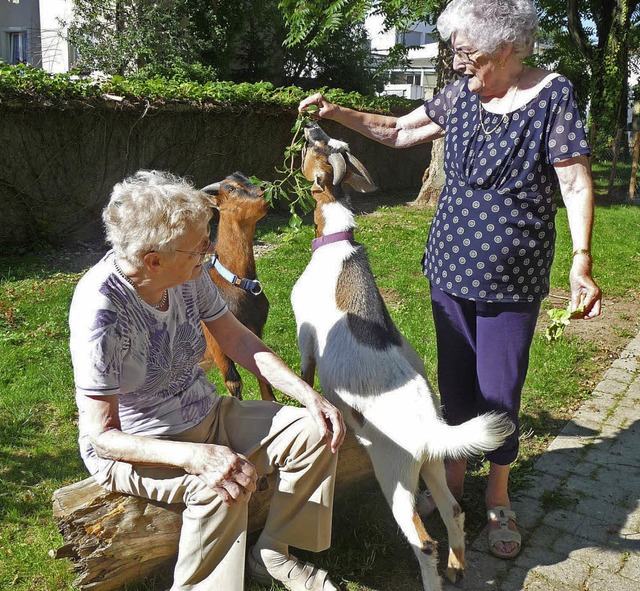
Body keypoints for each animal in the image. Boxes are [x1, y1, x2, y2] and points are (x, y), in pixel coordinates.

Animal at [200, 171, 276, 402]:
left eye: (248, 178)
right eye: (231, 188)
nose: (265, 188)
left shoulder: (255, 330)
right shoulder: (217, 343)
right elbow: (233, 382)